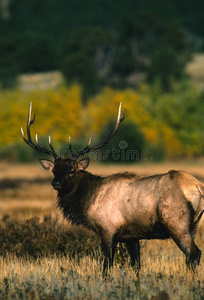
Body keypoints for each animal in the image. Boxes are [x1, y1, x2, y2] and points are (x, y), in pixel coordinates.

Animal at [21, 102, 204, 274]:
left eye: (72, 170)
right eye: (54, 170)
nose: (56, 183)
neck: (88, 201)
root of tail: (198, 186)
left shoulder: (108, 229)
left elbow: (106, 265)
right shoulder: (131, 236)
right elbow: (136, 265)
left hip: (176, 222)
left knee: (194, 253)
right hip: (194, 225)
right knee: (190, 256)